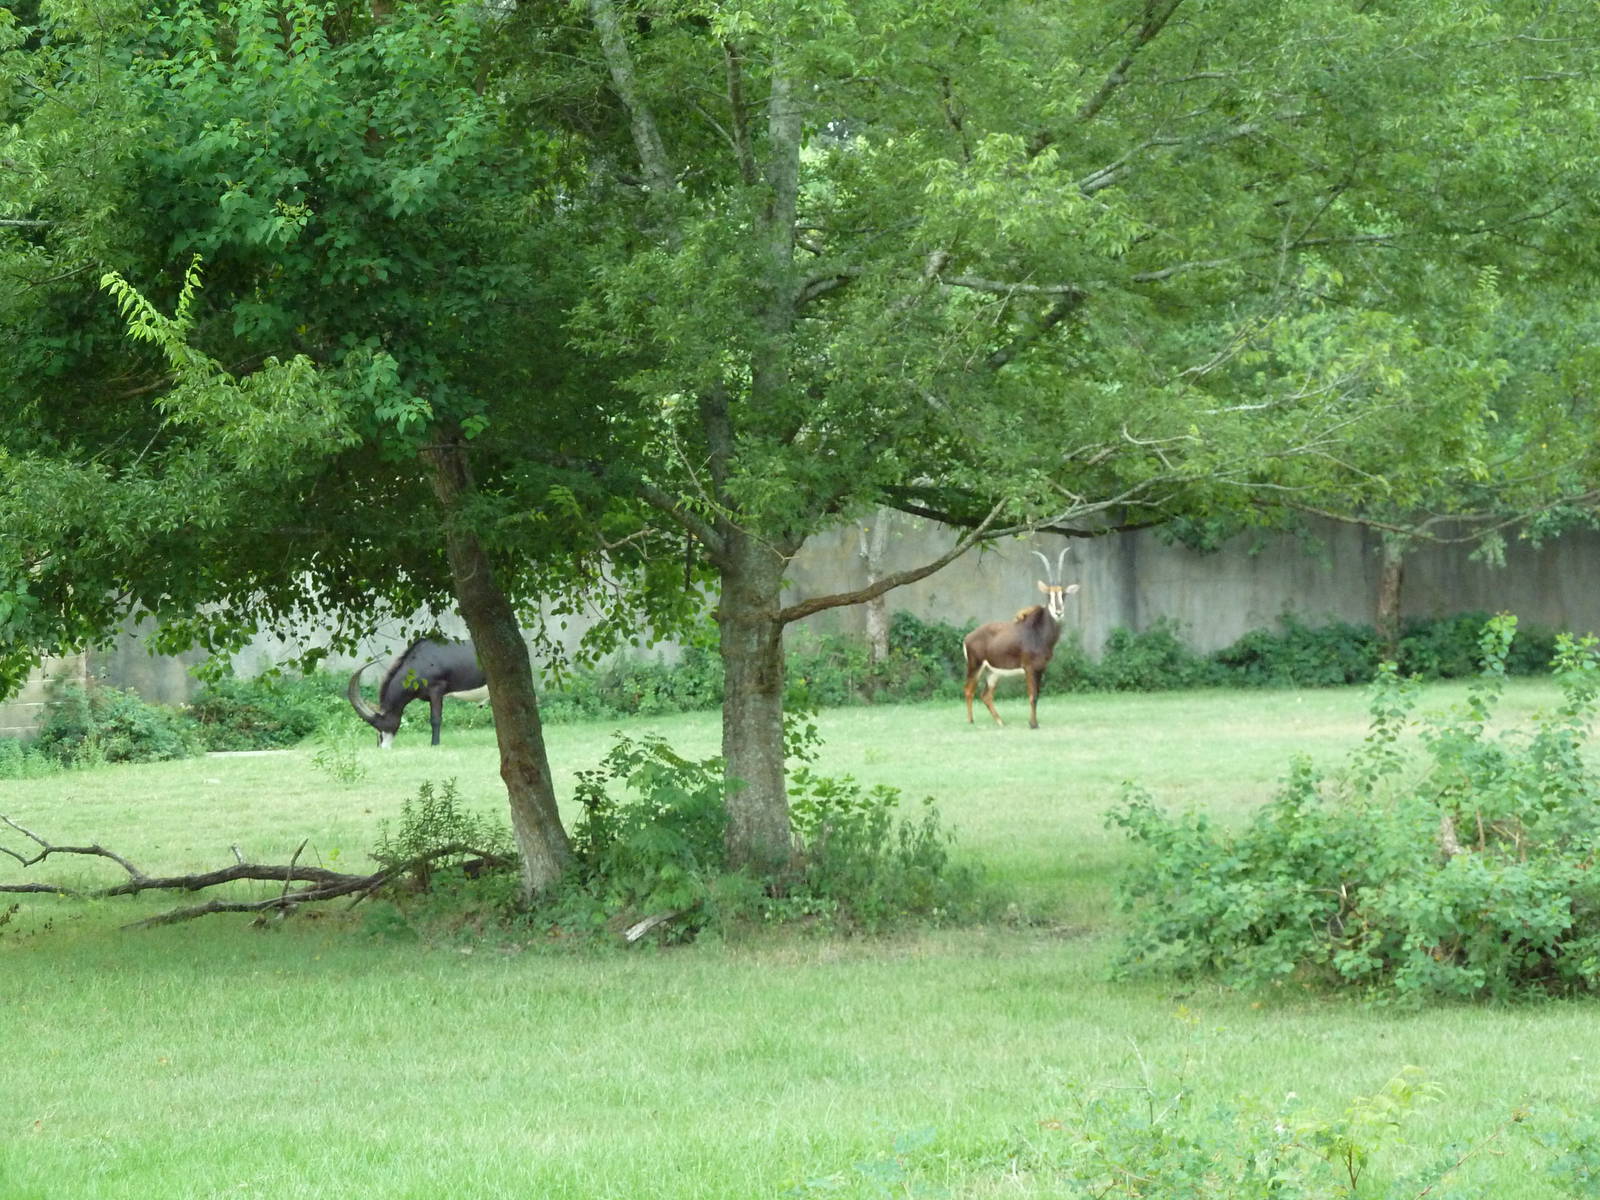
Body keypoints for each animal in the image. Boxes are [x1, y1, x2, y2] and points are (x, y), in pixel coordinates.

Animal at [347, 638, 488, 748]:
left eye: (379, 725)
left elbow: (435, 719)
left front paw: (434, 744)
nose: (382, 747)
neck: (419, 661)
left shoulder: (437, 690)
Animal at [963, 549, 1079, 729]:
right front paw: (1033, 724)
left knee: (986, 695)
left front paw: (1034, 723)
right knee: (969, 690)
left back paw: (1000, 722)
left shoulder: (1041, 669)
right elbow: (1032, 696)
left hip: (993, 672)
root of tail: (968, 637)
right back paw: (970, 721)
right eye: (1048, 595)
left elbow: (1037, 695)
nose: (1059, 612)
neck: (1038, 632)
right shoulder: (1029, 668)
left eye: (1064, 594)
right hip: (975, 666)